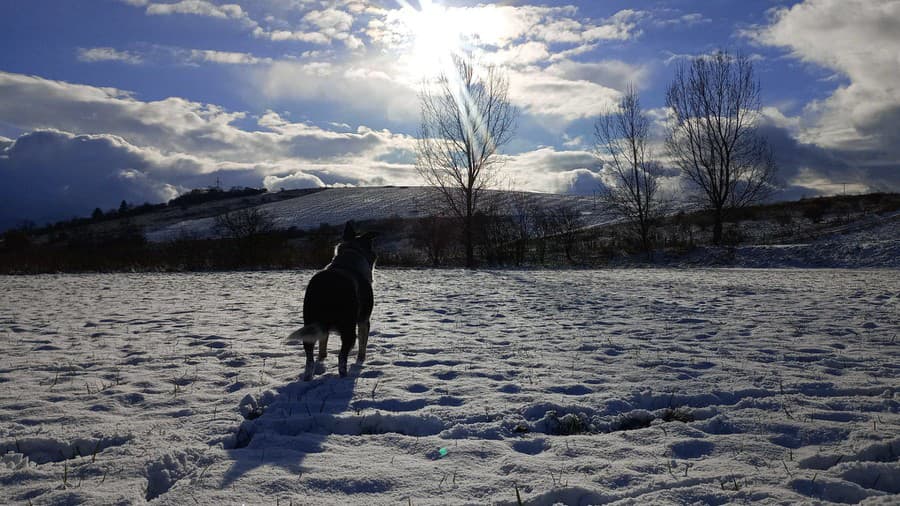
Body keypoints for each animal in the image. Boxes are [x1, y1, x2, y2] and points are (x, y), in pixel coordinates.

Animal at [286, 221, 374, 380]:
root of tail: (328, 286)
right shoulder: (364, 320)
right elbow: (362, 346)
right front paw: (361, 361)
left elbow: (323, 345)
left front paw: (322, 359)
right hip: (348, 329)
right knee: (342, 358)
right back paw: (344, 377)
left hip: (310, 323)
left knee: (309, 357)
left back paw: (308, 377)